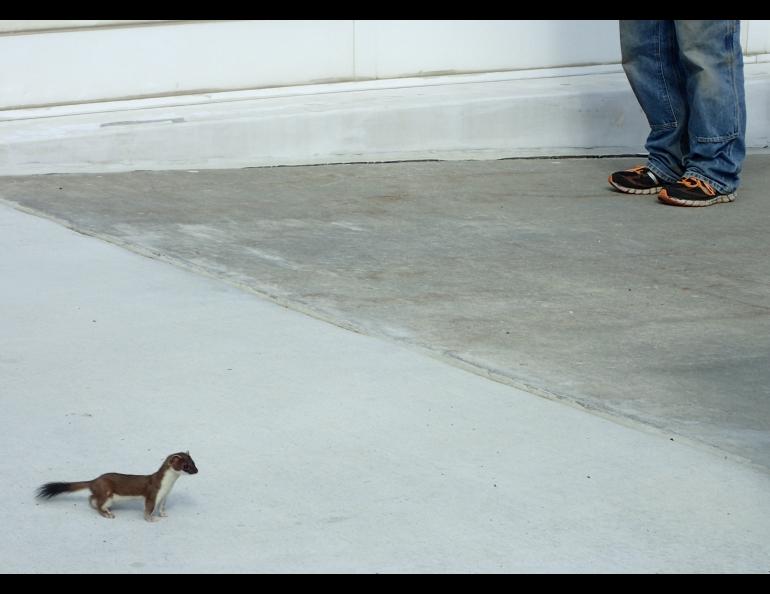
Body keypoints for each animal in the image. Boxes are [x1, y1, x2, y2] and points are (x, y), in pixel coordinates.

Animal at [36, 450, 198, 520]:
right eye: (185, 466)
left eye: (194, 462)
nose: (197, 471)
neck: (168, 485)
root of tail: (95, 480)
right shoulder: (153, 494)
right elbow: (149, 509)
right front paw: (152, 519)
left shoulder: (165, 496)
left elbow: (162, 507)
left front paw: (163, 514)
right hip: (108, 494)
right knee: (99, 504)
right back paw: (108, 514)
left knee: (91, 498)